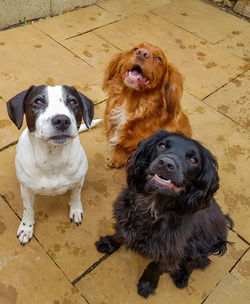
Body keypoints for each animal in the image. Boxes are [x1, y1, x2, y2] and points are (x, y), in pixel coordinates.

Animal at [6, 84, 99, 246]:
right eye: (38, 101)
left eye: (73, 101)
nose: (62, 120)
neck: (53, 158)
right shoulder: (26, 189)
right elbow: (28, 209)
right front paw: (26, 227)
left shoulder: (78, 181)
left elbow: (76, 195)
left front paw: (75, 209)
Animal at [95, 130, 232, 296]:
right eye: (162, 146)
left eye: (193, 160)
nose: (166, 164)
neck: (152, 206)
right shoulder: (124, 218)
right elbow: (119, 235)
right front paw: (108, 243)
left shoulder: (170, 252)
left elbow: (154, 267)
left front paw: (148, 284)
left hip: (199, 248)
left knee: (194, 263)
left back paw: (182, 276)